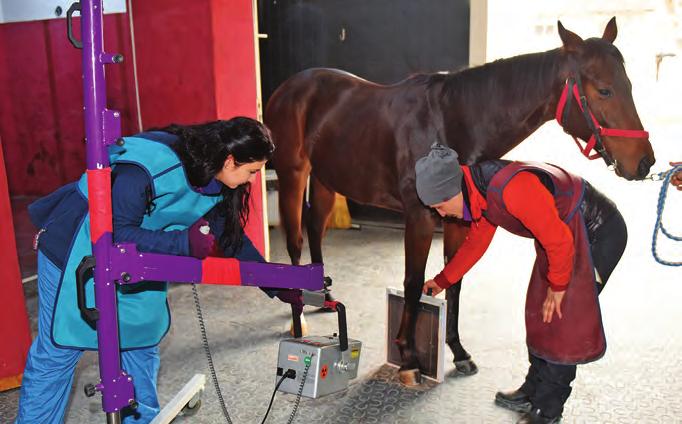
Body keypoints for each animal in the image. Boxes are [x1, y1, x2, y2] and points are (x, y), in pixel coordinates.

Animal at [262, 18, 652, 386]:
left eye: (630, 85)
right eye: (603, 89)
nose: (644, 162)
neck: (451, 121)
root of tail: (290, 87)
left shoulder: (458, 220)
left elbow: (455, 278)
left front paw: (458, 351)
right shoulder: (419, 217)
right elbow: (413, 282)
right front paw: (409, 359)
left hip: (326, 178)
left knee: (316, 228)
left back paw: (321, 295)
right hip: (294, 174)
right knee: (295, 240)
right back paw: (298, 321)